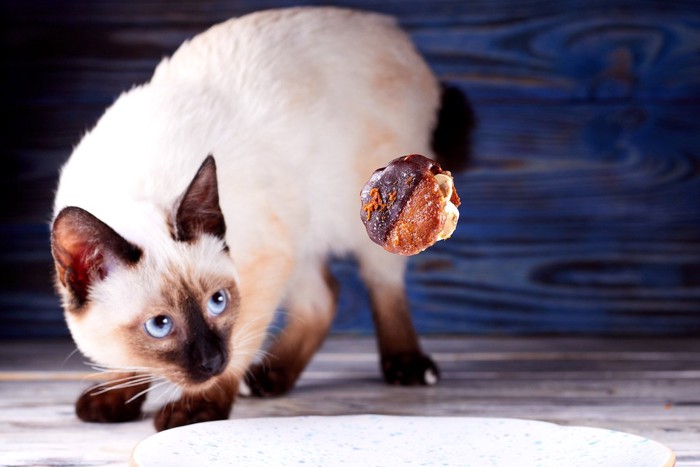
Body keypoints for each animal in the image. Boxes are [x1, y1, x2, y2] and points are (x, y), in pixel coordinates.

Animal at [49, 6, 468, 432]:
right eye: (159, 326)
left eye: (217, 303)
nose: (211, 361)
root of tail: (387, 27)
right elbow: (121, 363)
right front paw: (113, 397)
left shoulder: (262, 263)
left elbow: (241, 341)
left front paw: (197, 409)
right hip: (300, 233)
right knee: (324, 297)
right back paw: (271, 378)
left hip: (371, 223)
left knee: (379, 285)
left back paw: (406, 367)